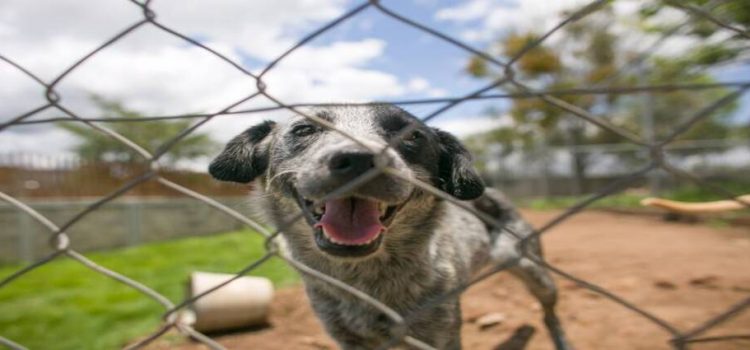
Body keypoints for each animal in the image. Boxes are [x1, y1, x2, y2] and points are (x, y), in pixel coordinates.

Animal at [209, 104, 572, 350]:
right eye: (304, 130)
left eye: (412, 136)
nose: (359, 159)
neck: (365, 278)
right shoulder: (347, 337)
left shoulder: (439, 334)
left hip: (536, 274)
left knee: (550, 312)